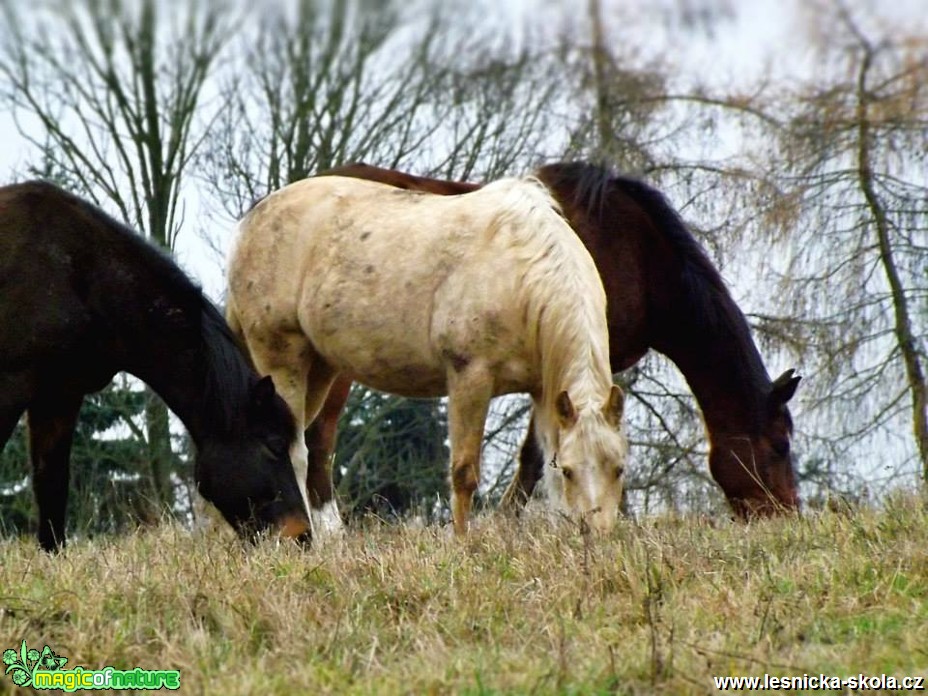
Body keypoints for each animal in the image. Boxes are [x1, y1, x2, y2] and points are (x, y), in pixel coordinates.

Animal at [0, 182, 312, 552]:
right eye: (274, 444)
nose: (300, 535)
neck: (80, 276)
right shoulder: (12, 385)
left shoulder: (59, 394)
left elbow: (52, 482)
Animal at [227, 174, 628, 532]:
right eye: (573, 471)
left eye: (619, 468)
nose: (597, 534)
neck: (520, 273)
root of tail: (252, 220)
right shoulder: (470, 377)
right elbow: (464, 473)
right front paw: (463, 545)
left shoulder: (544, 390)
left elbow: (544, 468)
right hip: (281, 357)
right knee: (294, 453)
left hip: (320, 368)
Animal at [300, 160, 800, 524]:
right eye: (780, 446)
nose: (786, 513)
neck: (638, 257)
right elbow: (536, 457)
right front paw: (507, 522)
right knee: (317, 441)